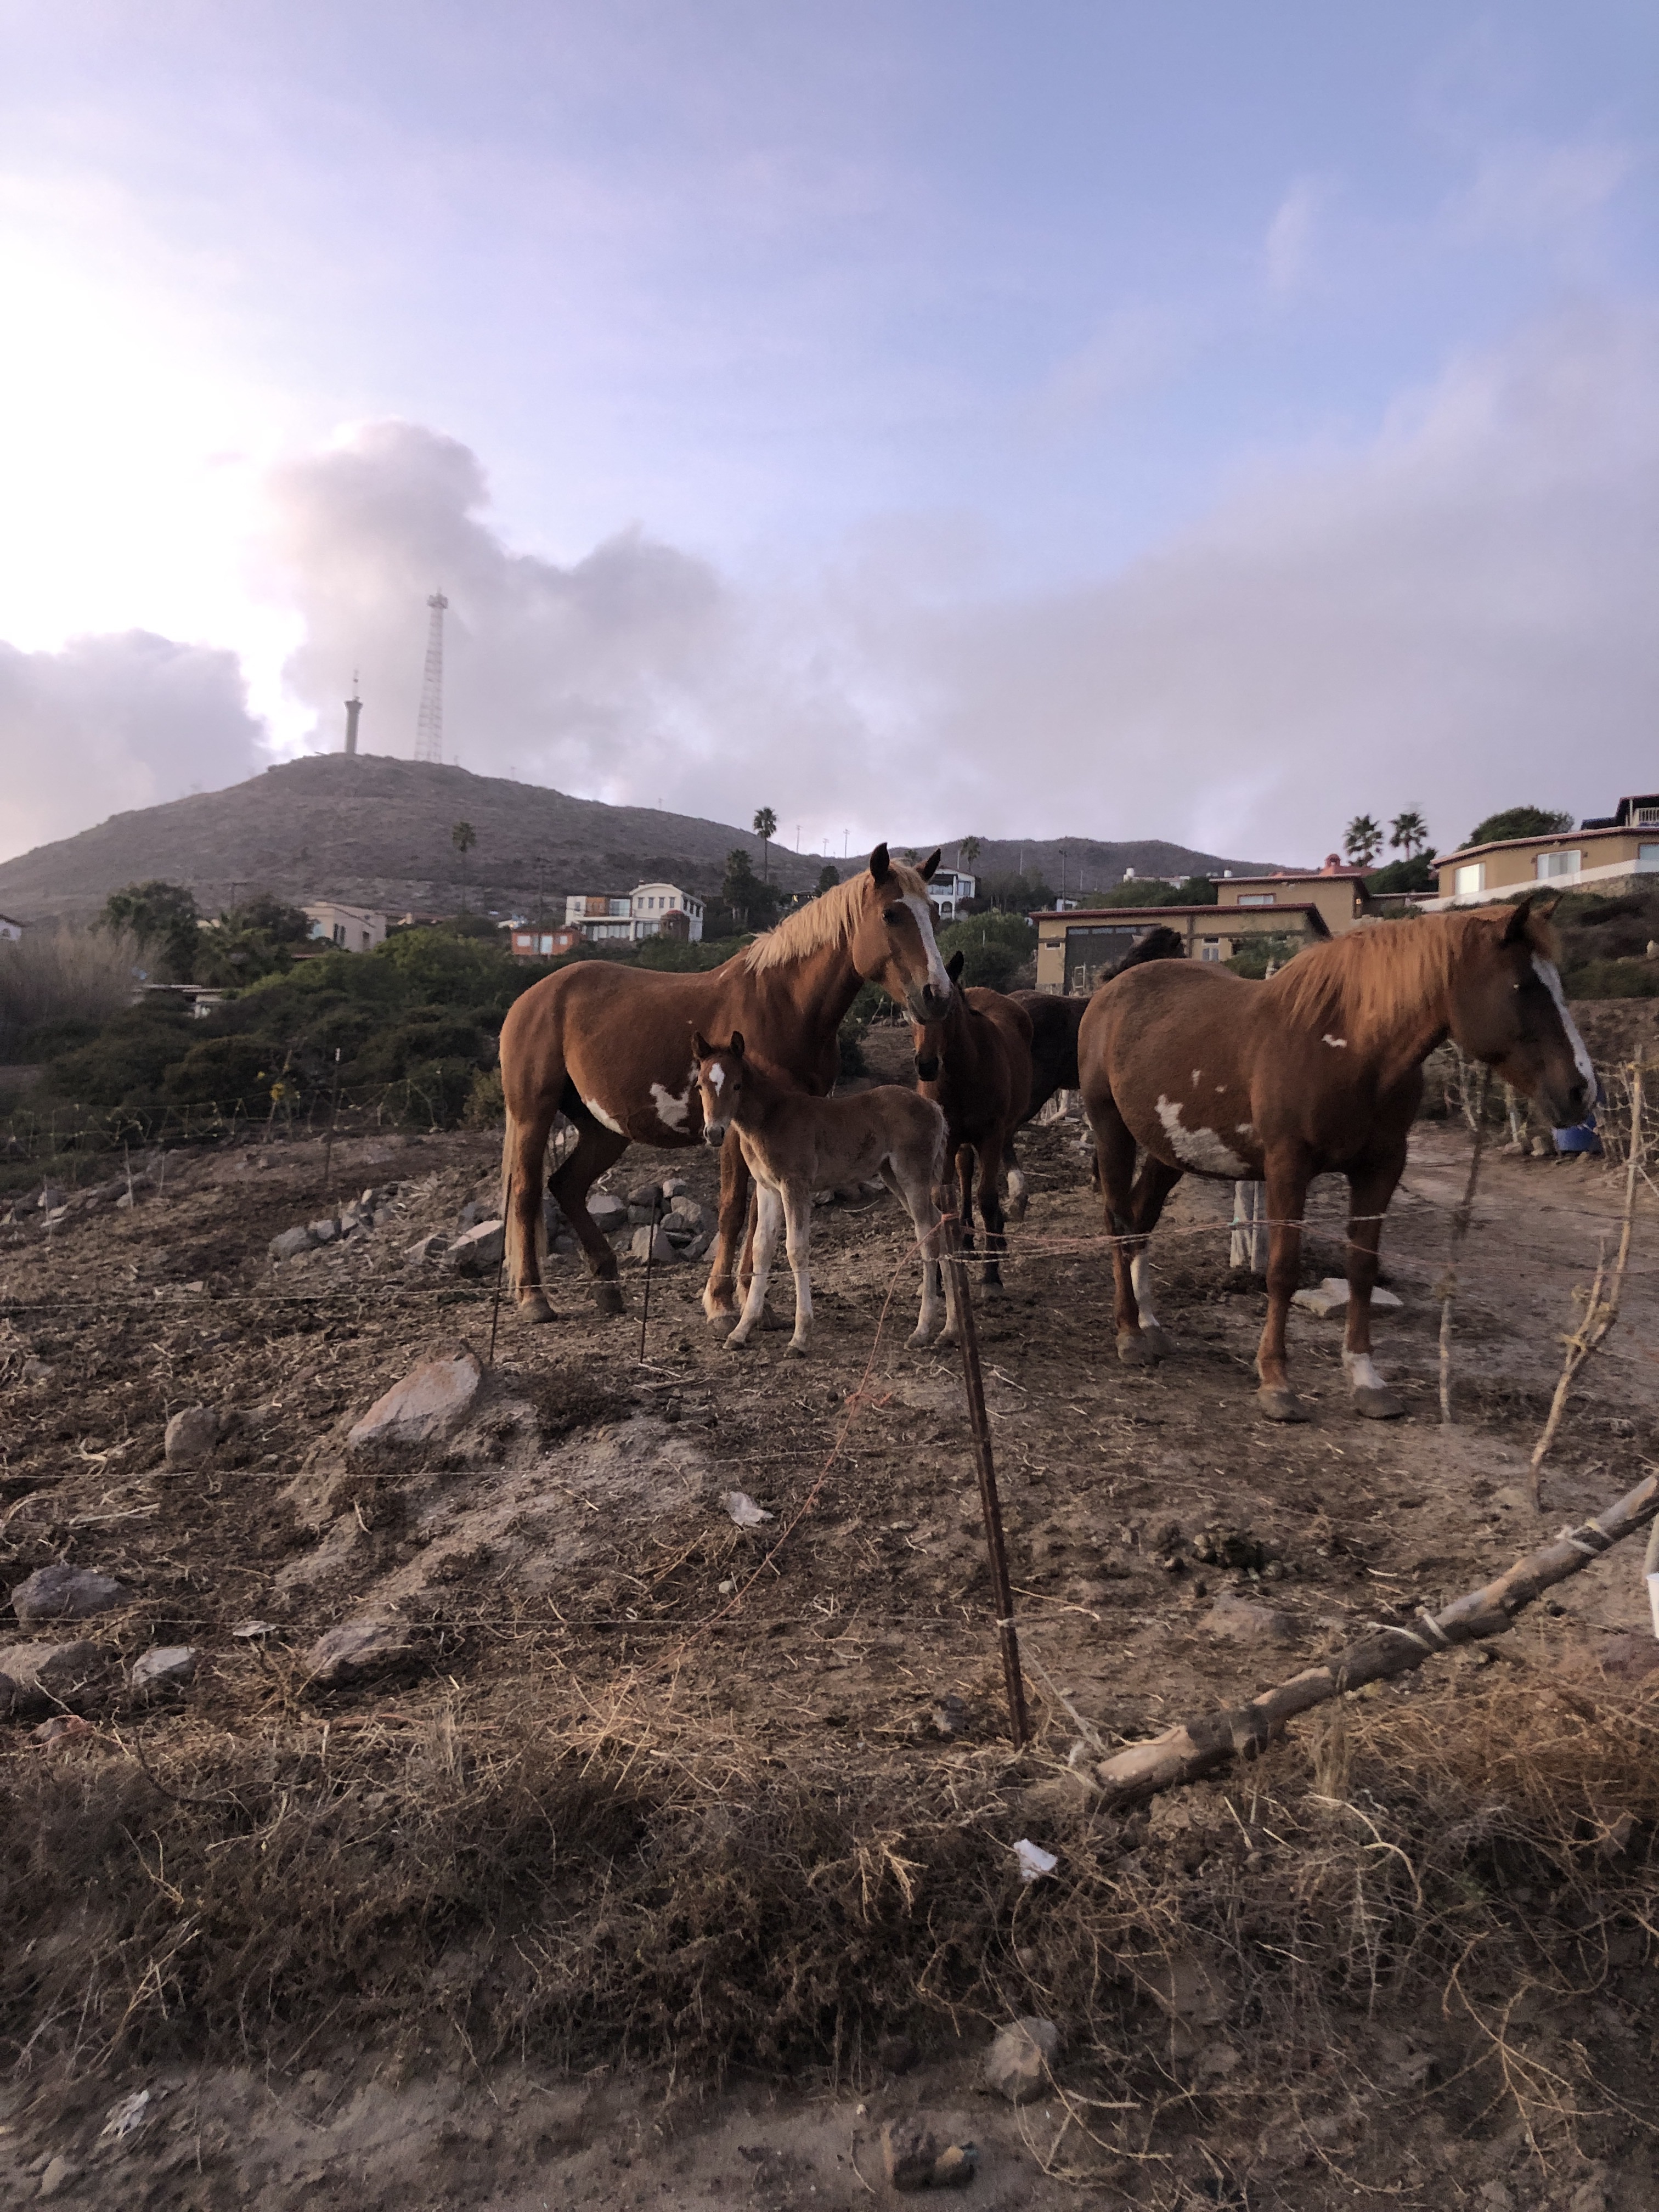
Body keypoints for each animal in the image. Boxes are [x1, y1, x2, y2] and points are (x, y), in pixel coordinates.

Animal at [498, 846, 952, 1327]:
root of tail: (529, 998)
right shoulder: (735, 1129)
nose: (938, 995)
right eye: (890, 914)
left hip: (604, 1129)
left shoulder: (779, 1133)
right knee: (526, 1192)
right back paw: (533, 1298)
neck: (784, 1004)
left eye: (934, 914)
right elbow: (734, 1209)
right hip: (533, 1114)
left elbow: (759, 1218)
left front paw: (757, 1302)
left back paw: (607, 1286)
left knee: (566, 1185)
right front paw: (721, 1302)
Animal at [690, 1031, 958, 1356]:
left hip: (911, 1174)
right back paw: (949, 1330)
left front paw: (800, 1337)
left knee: (927, 1237)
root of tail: (934, 1109)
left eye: (737, 1085)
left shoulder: (795, 1185)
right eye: (700, 1085)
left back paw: (922, 1331)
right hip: (892, 1176)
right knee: (938, 1223)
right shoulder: (767, 1189)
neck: (769, 1118)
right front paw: (741, 1332)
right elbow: (761, 1248)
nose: (714, 1133)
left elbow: (795, 1250)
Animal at [912, 949, 1033, 1286]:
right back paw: (966, 1241)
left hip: (1001, 1131)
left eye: (949, 1008)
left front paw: (991, 1277)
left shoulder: (991, 1136)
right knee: (965, 1173)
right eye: (909, 1010)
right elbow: (942, 1201)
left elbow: (987, 1198)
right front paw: (943, 1279)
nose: (926, 1065)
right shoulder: (948, 1142)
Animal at [1076, 899, 1593, 1423]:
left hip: (1170, 1149)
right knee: (1119, 1220)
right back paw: (1130, 1334)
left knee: (1141, 1219)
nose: (1581, 1090)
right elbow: (1282, 1271)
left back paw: (1151, 1324)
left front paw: (1366, 1379)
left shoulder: (1382, 1168)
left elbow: (1362, 1269)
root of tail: (1111, 991)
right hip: (1112, 1129)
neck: (1351, 1048)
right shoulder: (1288, 1167)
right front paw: (1277, 1382)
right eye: (1522, 985)